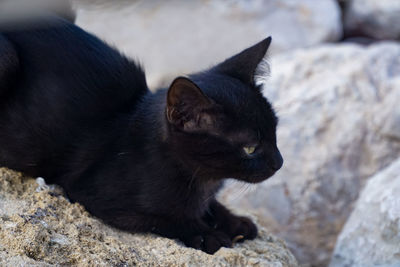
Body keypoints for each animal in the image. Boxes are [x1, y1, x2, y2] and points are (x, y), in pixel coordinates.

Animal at [0, 16, 282, 255]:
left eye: (275, 132)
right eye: (250, 148)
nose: (279, 163)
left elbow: (208, 205)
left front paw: (234, 221)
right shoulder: (94, 195)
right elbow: (167, 218)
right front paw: (206, 234)